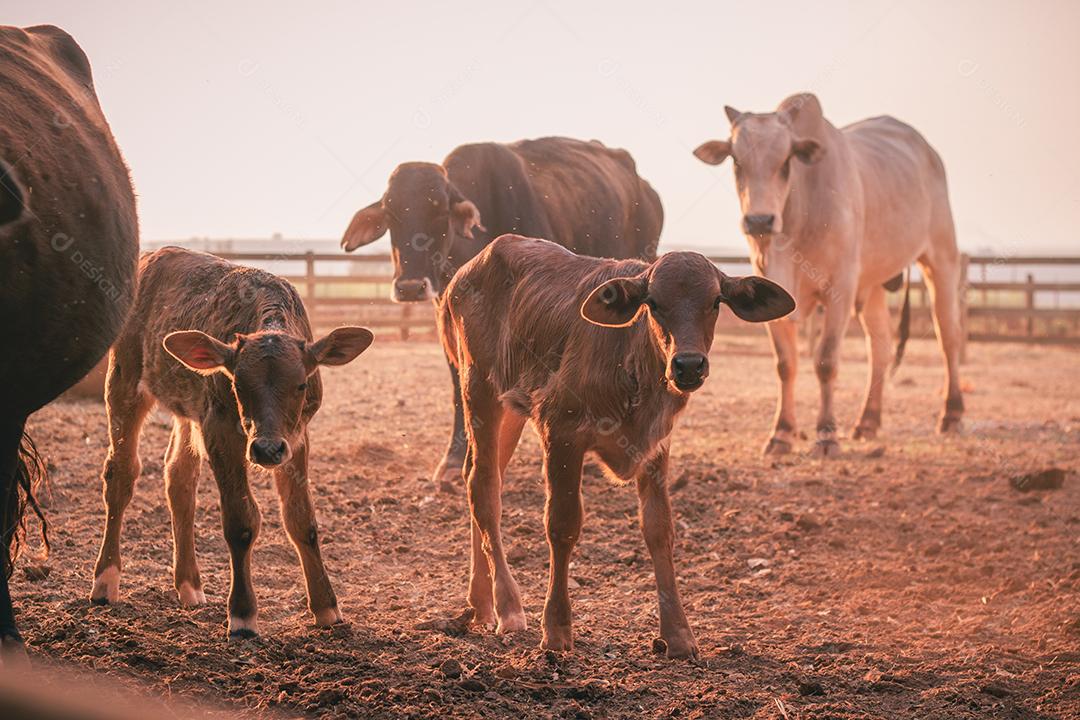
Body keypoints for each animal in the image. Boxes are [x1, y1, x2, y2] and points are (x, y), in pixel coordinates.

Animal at [89, 247, 373, 639]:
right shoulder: (221, 428)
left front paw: (326, 607)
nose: (267, 449)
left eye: (301, 384)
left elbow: (302, 518)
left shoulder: (297, 437)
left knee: (179, 478)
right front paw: (242, 615)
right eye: (238, 384)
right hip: (124, 379)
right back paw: (105, 580)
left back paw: (189, 585)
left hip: (189, 407)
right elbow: (241, 520)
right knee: (121, 474)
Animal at [438, 235, 794, 657]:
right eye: (653, 303)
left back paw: (480, 602)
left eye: (714, 301)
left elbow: (659, 529)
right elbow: (562, 524)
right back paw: (508, 605)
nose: (688, 365)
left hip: (510, 406)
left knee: (480, 476)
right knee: (484, 488)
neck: (631, 358)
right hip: (477, 387)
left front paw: (678, 634)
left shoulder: (657, 445)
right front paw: (556, 628)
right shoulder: (561, 430)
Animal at [693, 93, 964, 456]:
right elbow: (785, 364)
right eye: (736, 161)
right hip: (872, 285)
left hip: (941, 258)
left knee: (948, 335)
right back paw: (867, 420)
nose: (759, 221)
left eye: (786, 161)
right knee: (880, 345)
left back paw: (952, 414)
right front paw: (781, 433)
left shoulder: (841, 289)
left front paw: (826, 435)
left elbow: (825, 361)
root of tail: (927, 150)